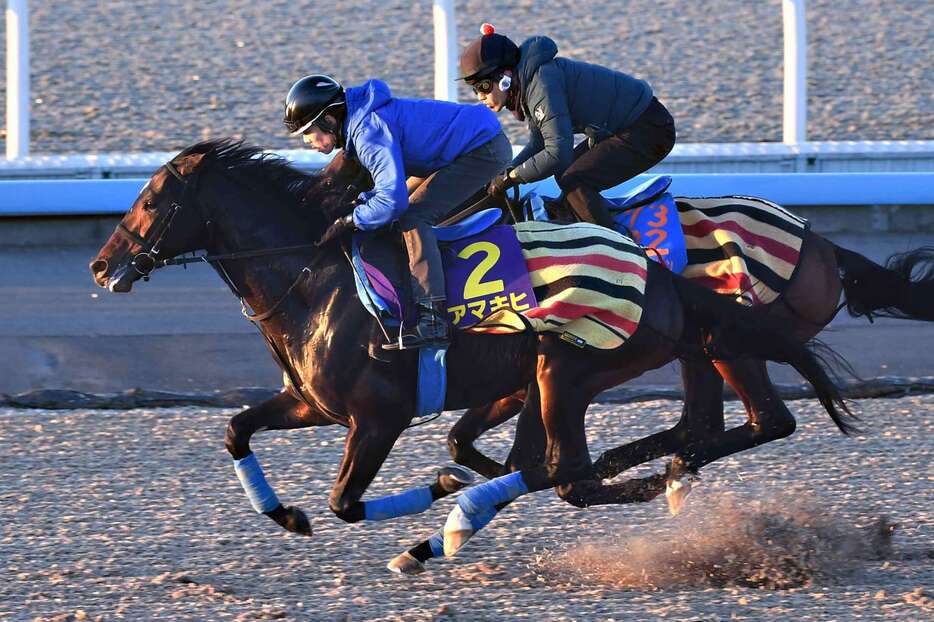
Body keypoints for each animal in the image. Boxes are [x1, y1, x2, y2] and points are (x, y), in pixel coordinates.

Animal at [89, 143, 856, 572]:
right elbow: (236, 429)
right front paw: (287, 515)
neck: (314, 277)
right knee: (584, 464)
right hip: (589, 371)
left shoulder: (380, 416)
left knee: (577, 472)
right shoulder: (313, 403)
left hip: (571, 368)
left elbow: (347, 502)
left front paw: (440, 494)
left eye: (151, 199)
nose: (101, 266)